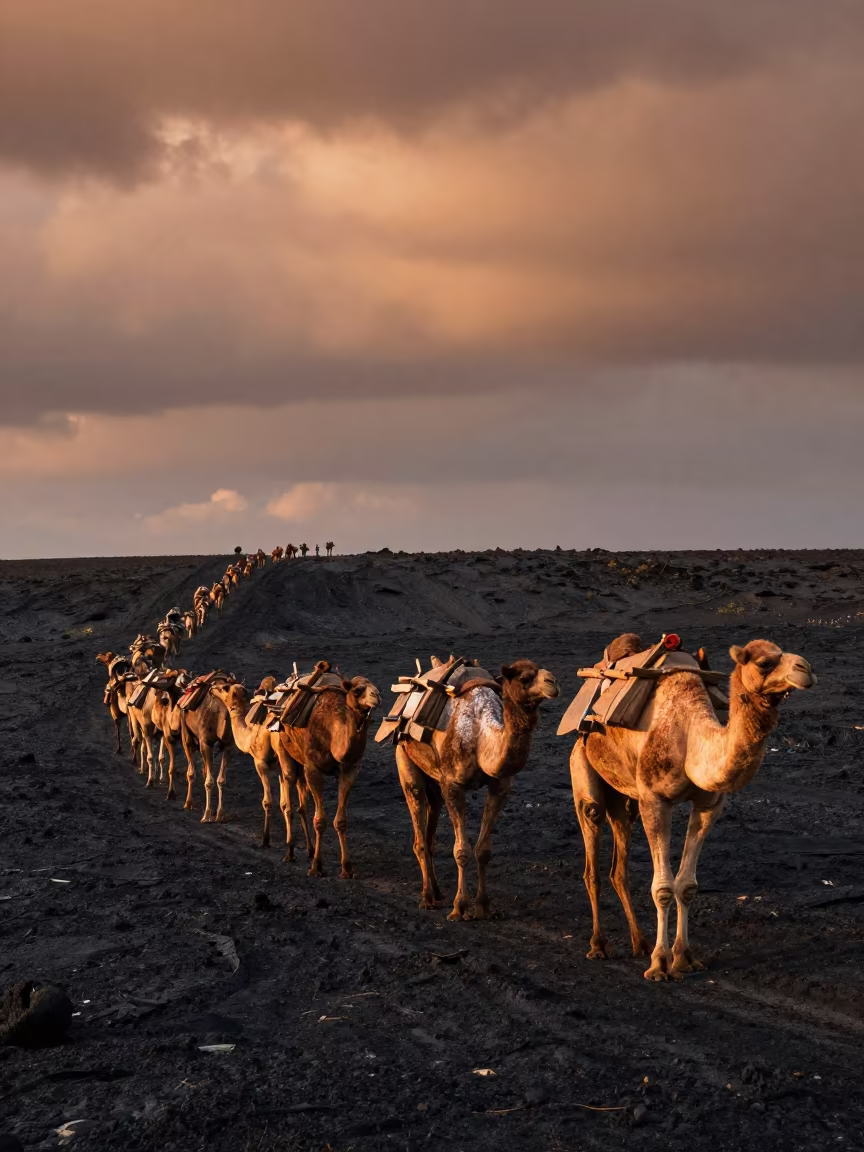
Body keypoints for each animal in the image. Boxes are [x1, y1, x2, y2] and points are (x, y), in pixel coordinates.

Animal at [212, 665, 380, 875]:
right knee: (295, 804)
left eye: (224, 687)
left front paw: (341, 868)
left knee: (294, 805)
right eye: (357, 690)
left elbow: (334, 819)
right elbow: (307, 813)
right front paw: (320, 864)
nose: (377, 696)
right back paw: (298, 850)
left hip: (290, 762)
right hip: (291, 761)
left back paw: (295, 850)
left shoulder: (346, 770)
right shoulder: (306, 768)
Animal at [395, 658, 559, 920]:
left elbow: (483, 851)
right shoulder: (453, 785)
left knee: (431, 824)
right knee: (418, 827)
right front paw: (459, 907)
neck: (481, 736)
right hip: (405, 758)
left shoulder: (499, 786)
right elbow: (461, 850)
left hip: (434, 777)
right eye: (524, 678)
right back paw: (427, 897)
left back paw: (438, 892)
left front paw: (483, 905)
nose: (552, 682)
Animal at [569, 636, 816, 980]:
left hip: (624, 797)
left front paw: (684, 958)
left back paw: (640, 943)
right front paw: (660, 965)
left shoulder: (709, 804)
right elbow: (662, 888)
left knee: (619, 866)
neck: (692, 739)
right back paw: (599, 946)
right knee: (592, 853)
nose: (806, 669)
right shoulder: (655, 800)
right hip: (583, 767)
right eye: (765, 662)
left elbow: (686, 886)